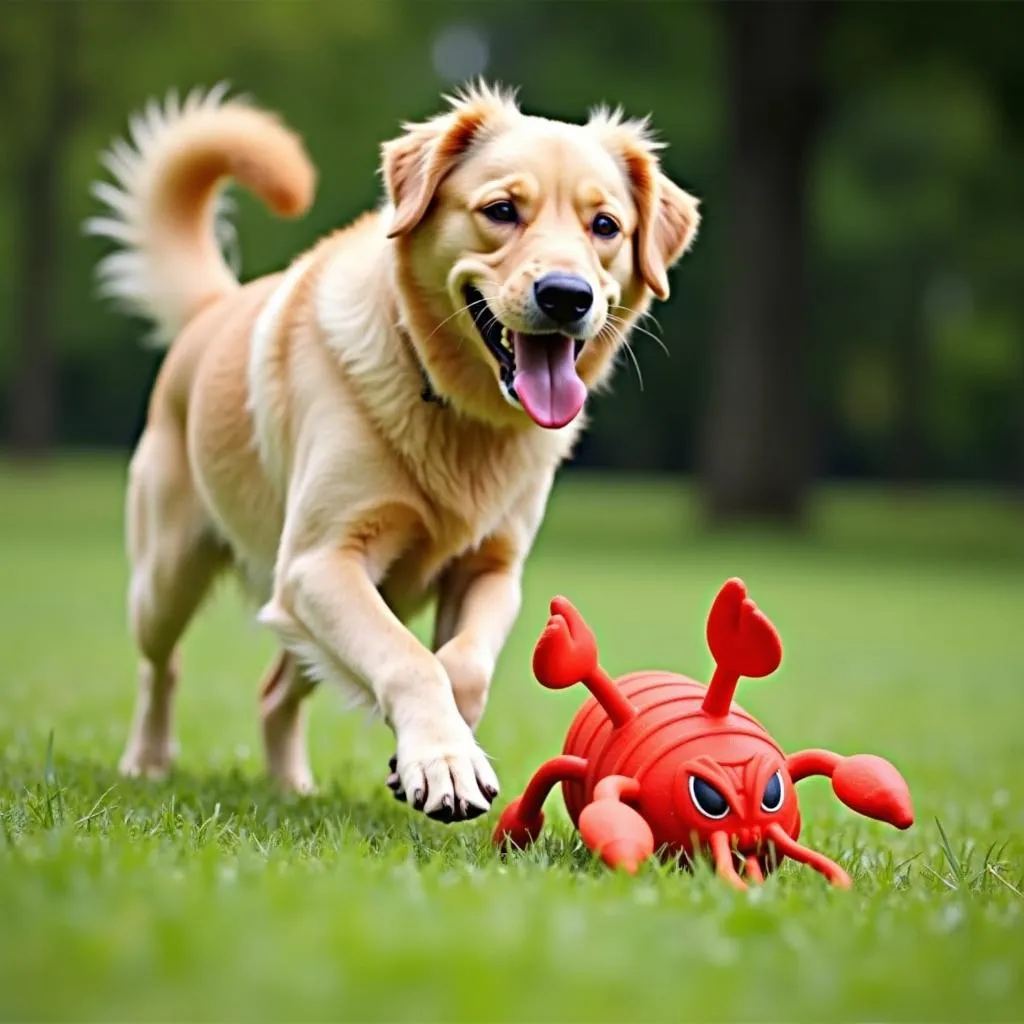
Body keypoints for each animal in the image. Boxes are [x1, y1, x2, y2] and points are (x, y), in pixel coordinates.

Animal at [83, 79, 700, 823]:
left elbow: (461, 664)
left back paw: (290, 785)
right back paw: (147, 761)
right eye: (501, 210)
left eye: (605, 226)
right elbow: (409, 660)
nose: (566, 296)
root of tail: (212, 308)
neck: (457, 408)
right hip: (170, 575)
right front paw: (443, 760)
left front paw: (435, 749)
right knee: (161, 666)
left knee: (275, 691)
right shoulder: (319, 562)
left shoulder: (492, 569)